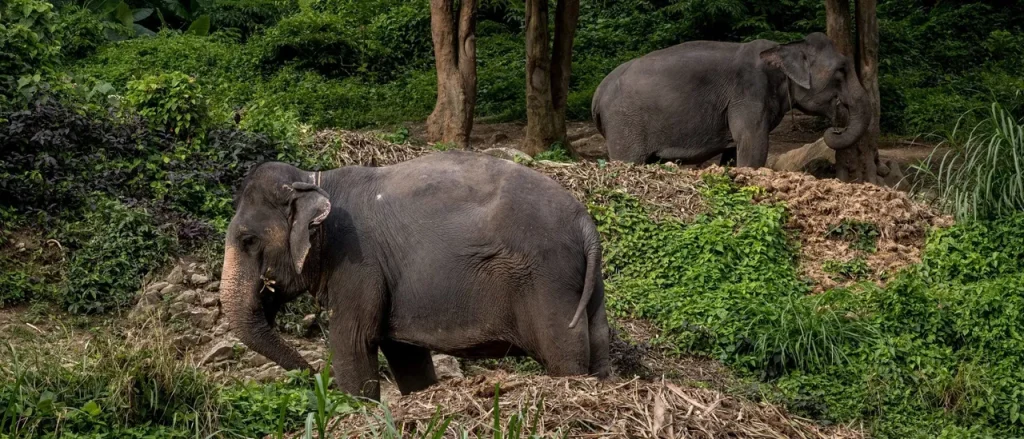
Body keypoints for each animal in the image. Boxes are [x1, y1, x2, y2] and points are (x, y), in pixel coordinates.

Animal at [219, 151, 611, 401]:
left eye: (248, 240)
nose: (314, 376)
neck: (315, 179)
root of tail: (585, 223)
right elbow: (405, 354)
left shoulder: (358, 263)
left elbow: (353, 343)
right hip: (586, 283)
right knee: (599, 340)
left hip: (548, 279)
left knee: (565, 350)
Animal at [591, 32, 870, 167]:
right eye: (841, 70)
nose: (834, 128)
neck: (784, 47)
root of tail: (597, 94)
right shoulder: (748, 94)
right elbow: (753, 145)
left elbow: (735, 151)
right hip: (625, 123)